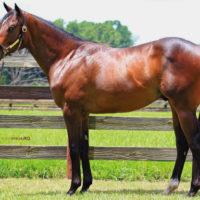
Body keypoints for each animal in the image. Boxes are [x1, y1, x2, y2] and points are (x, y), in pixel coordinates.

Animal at [0, 3, 200, 197]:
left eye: (11, 27)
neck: (67, 57)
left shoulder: (70, 110)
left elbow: (74, 146)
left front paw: (73, 187)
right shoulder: (84, 113)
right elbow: (84, 146)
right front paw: (85, 186)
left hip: (184, 109)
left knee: (194, 142)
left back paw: (192, 189)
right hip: (175, 107)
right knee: (182, 143)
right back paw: (170, 187)